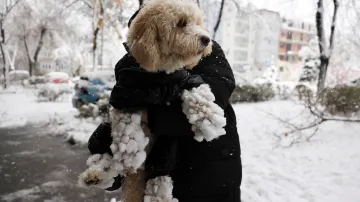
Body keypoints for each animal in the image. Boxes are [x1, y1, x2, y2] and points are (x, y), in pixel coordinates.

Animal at [79, 0, 226, 202]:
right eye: (181, 23)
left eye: (198, 22)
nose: (206, 39)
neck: (159, 76)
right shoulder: (126, 93)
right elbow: (126, 126)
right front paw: (129, 153)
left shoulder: (182, 79)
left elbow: (197, 91)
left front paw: (209, 118)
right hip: (104, 133)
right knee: (105, 160)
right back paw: (95, 175)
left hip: (164, 150)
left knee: (158, 177)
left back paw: (159, 196)